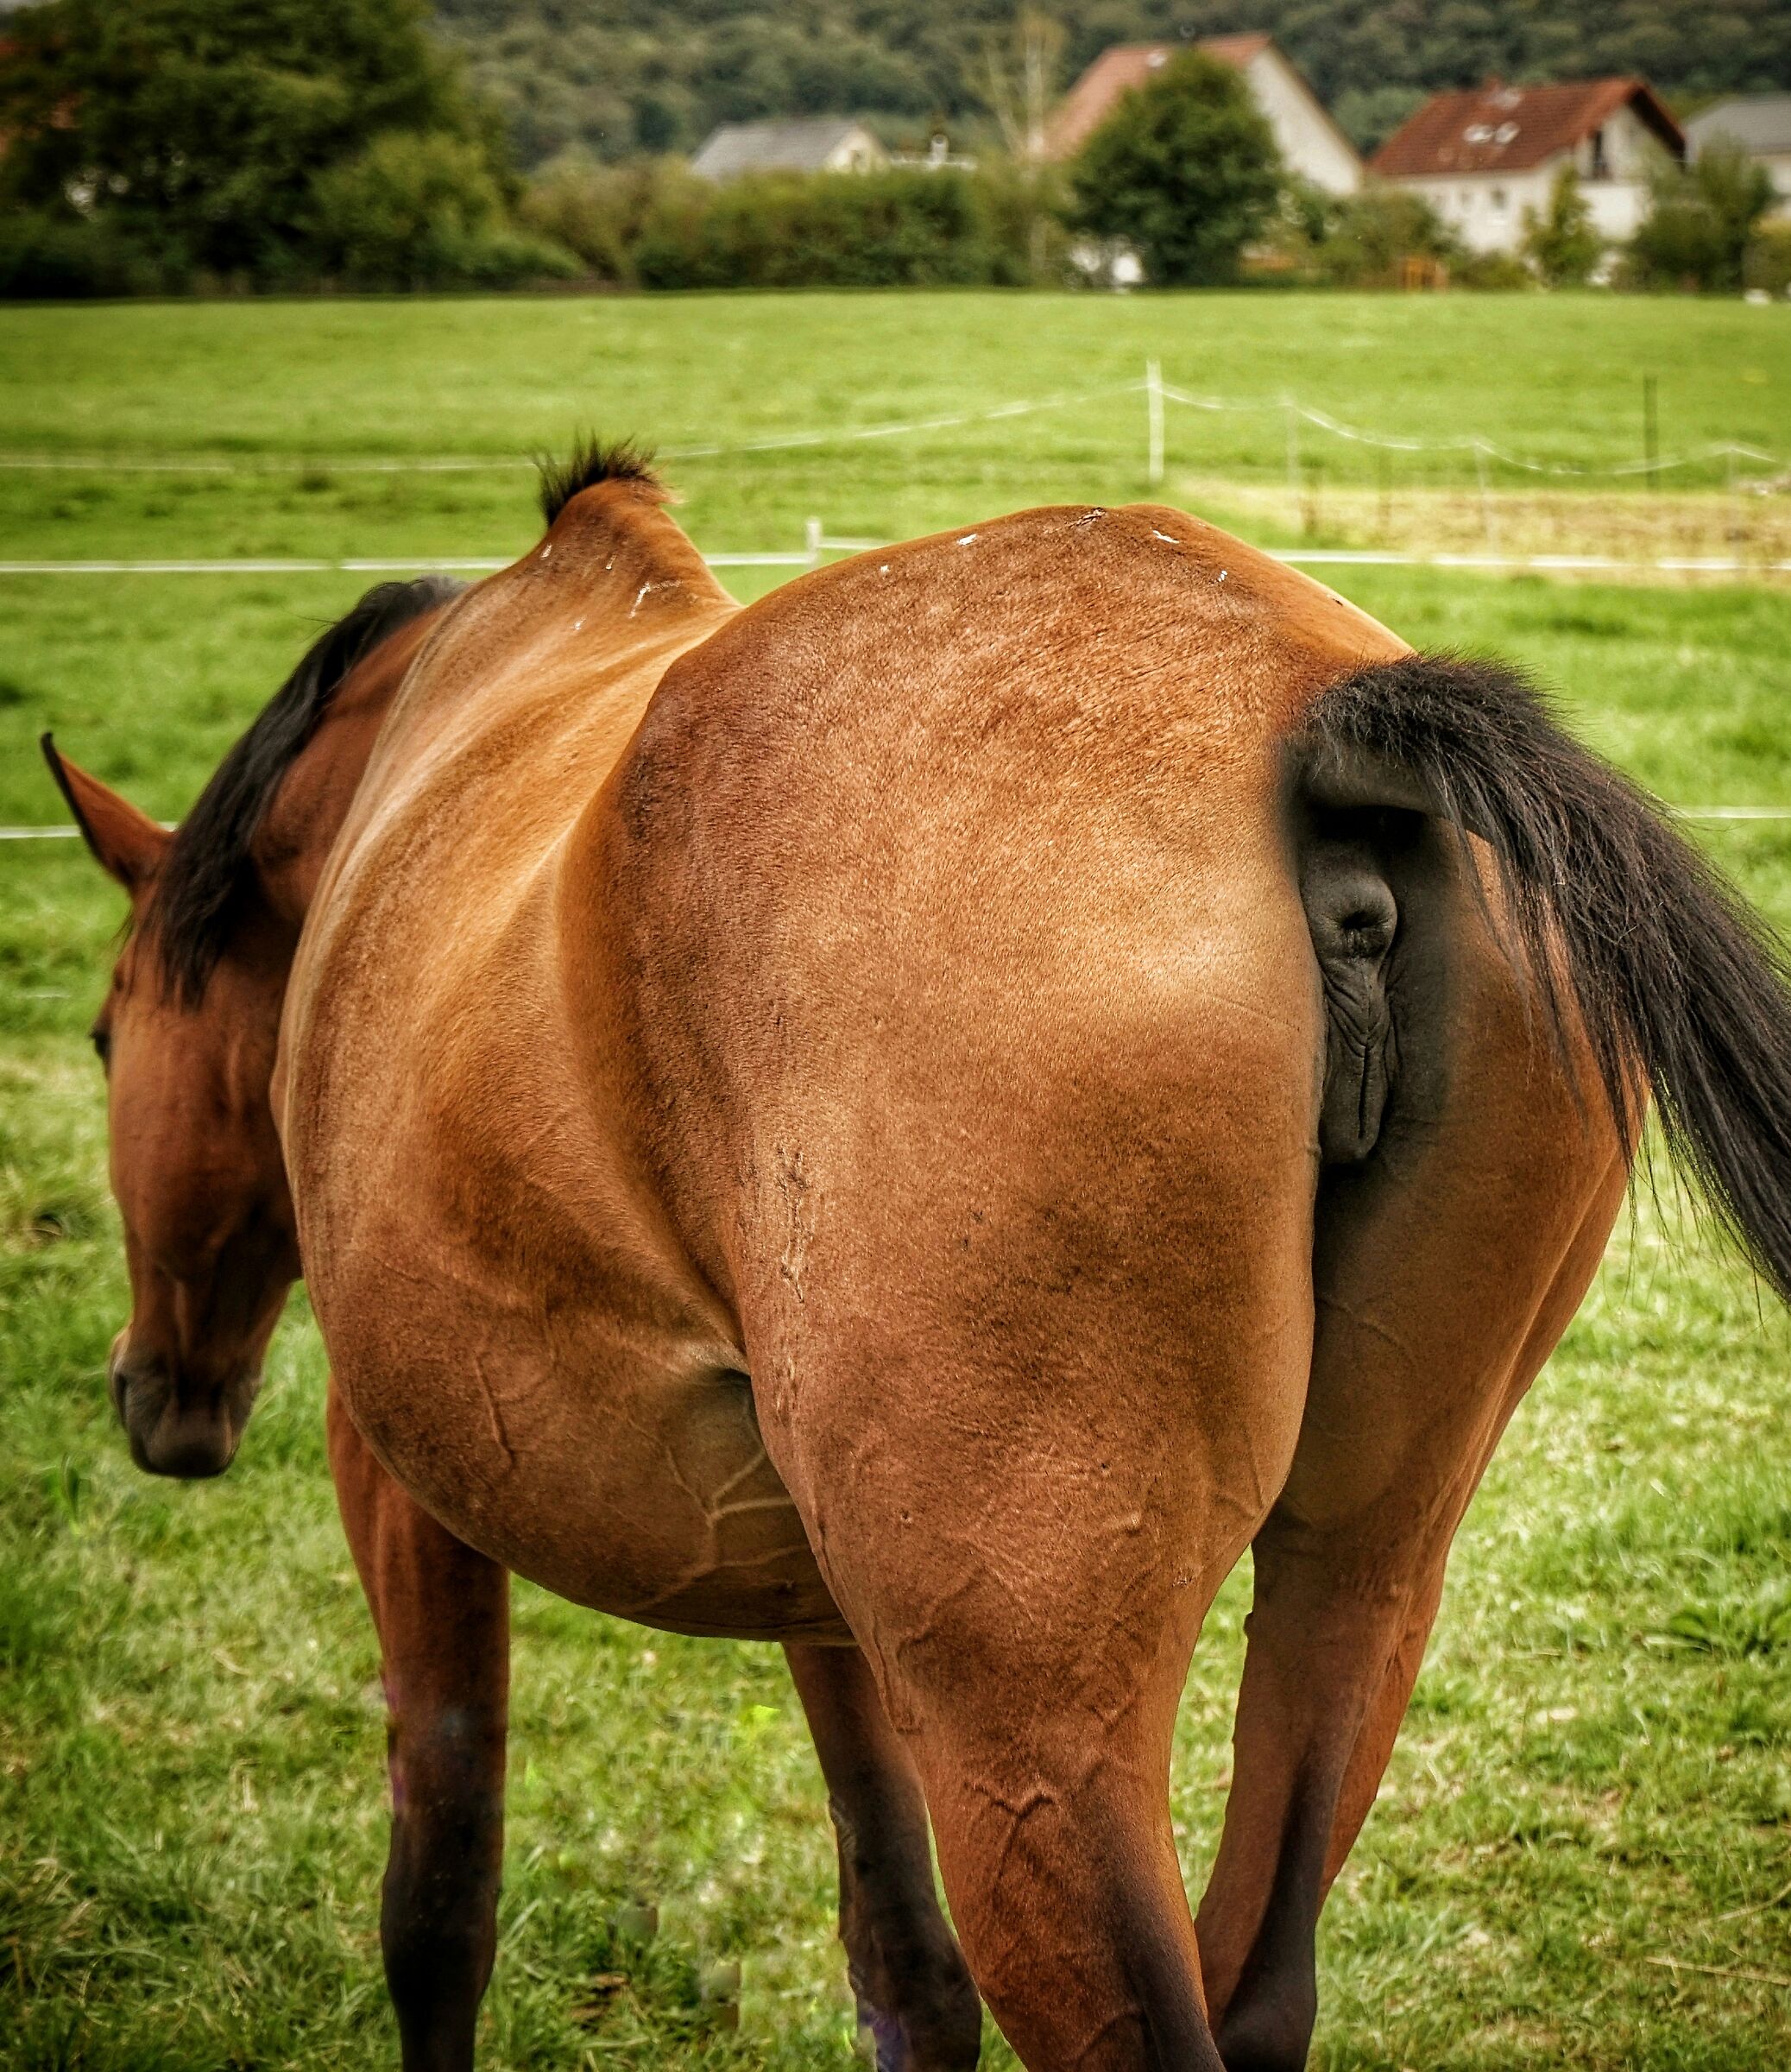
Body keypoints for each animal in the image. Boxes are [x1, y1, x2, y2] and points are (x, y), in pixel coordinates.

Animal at [54, 446, 1791, 2072]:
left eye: (101, 1037)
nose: (157, 1398)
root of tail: (1315, 719)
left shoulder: (401, 1482)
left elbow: (437, 1908)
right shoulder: (824, 1586)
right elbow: (903, 1969)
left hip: (1029, 1742)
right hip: (1359, 1587)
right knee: (1258, 1978)